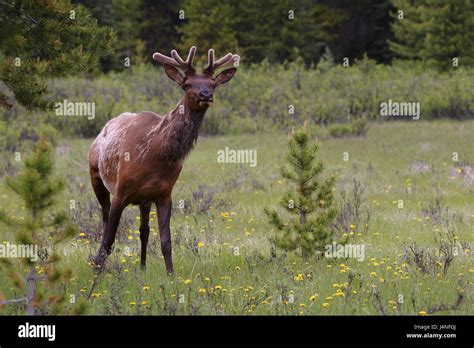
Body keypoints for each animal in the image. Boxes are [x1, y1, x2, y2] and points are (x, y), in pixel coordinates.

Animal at [87, 47, 239, 274]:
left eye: (212, 84)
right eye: (187, 84)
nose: (206, 95)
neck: (155, 155)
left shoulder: (164, 194)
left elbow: (166, 241)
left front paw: (171, 275)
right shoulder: (120, 192)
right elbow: (109, 240)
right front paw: (96, 272)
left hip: (144, 200)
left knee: (144, 230)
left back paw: (142, 267)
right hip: (96, 178)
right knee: (105, 223)